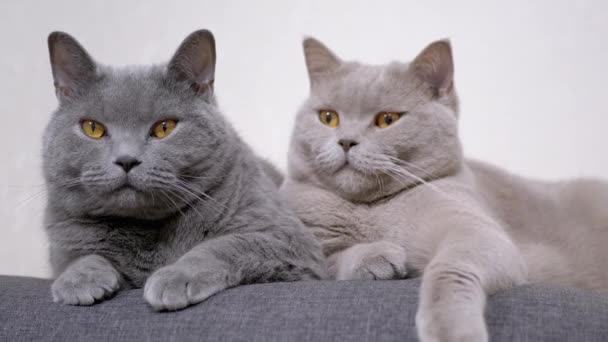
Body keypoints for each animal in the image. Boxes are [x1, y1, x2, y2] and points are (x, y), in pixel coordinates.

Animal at [44, 29, 326, 312]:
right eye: (93, 128)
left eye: (164, 128)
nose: (126, 160)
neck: (149, 231)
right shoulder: (63, 243)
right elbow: (80, 257)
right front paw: (78, 279)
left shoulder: (288, 237)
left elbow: (227, 244)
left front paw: (175, 276)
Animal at [282, 37, 608, 342]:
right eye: (328, 117)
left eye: (387, 119)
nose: (346, 141)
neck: (371, 210)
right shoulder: (309, 248)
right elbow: (331, 260)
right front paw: (378, 257)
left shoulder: (476, 231)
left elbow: (448, 271)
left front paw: (452, 331)